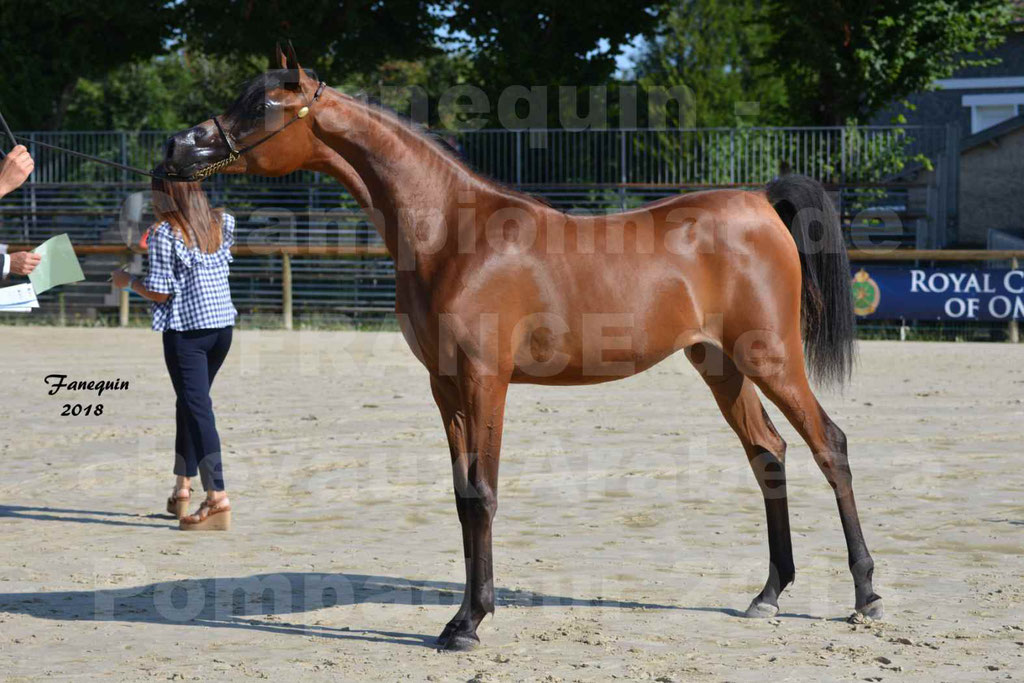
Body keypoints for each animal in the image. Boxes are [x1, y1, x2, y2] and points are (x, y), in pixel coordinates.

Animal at [159, 46, 880, 647]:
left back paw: (865, 595)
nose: (175, 147)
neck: (453, 234)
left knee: (831, 446)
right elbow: (462, 496)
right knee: (769, 454)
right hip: (721, 364)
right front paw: (467, 611)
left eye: (263, 105)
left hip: (771, 356)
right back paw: (769, 594)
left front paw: (467, 622)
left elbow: (484, 492)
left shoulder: (486, 380)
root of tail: (761, 200)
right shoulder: (444, 384)